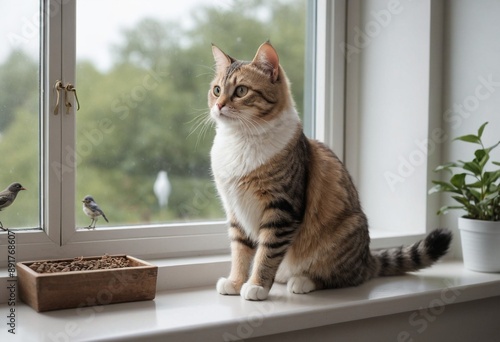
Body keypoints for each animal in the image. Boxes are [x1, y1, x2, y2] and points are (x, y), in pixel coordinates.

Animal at [208, 41, 454, 300]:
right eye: (216, 90)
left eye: (241, 91)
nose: (219, 105)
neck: (240, 139)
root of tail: (367, 258)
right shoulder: (235, 212)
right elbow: (240, 252)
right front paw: (236, 282)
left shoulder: (282, 210)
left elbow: (267, 253)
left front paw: (256, 285)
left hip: (342, 237)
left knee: (345, 277)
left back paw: (303, 281)